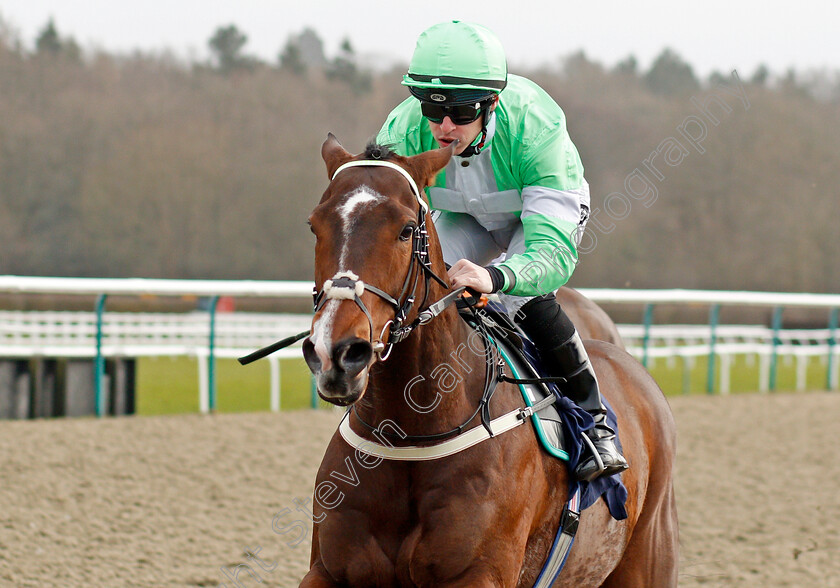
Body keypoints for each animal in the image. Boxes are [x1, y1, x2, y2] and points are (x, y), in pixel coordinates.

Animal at [296, 133, 676, 588]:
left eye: (406, 230)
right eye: (315, 225)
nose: (336, 353)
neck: (410, 436)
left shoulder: (478, 573)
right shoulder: (327, 570)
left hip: (647, 557)